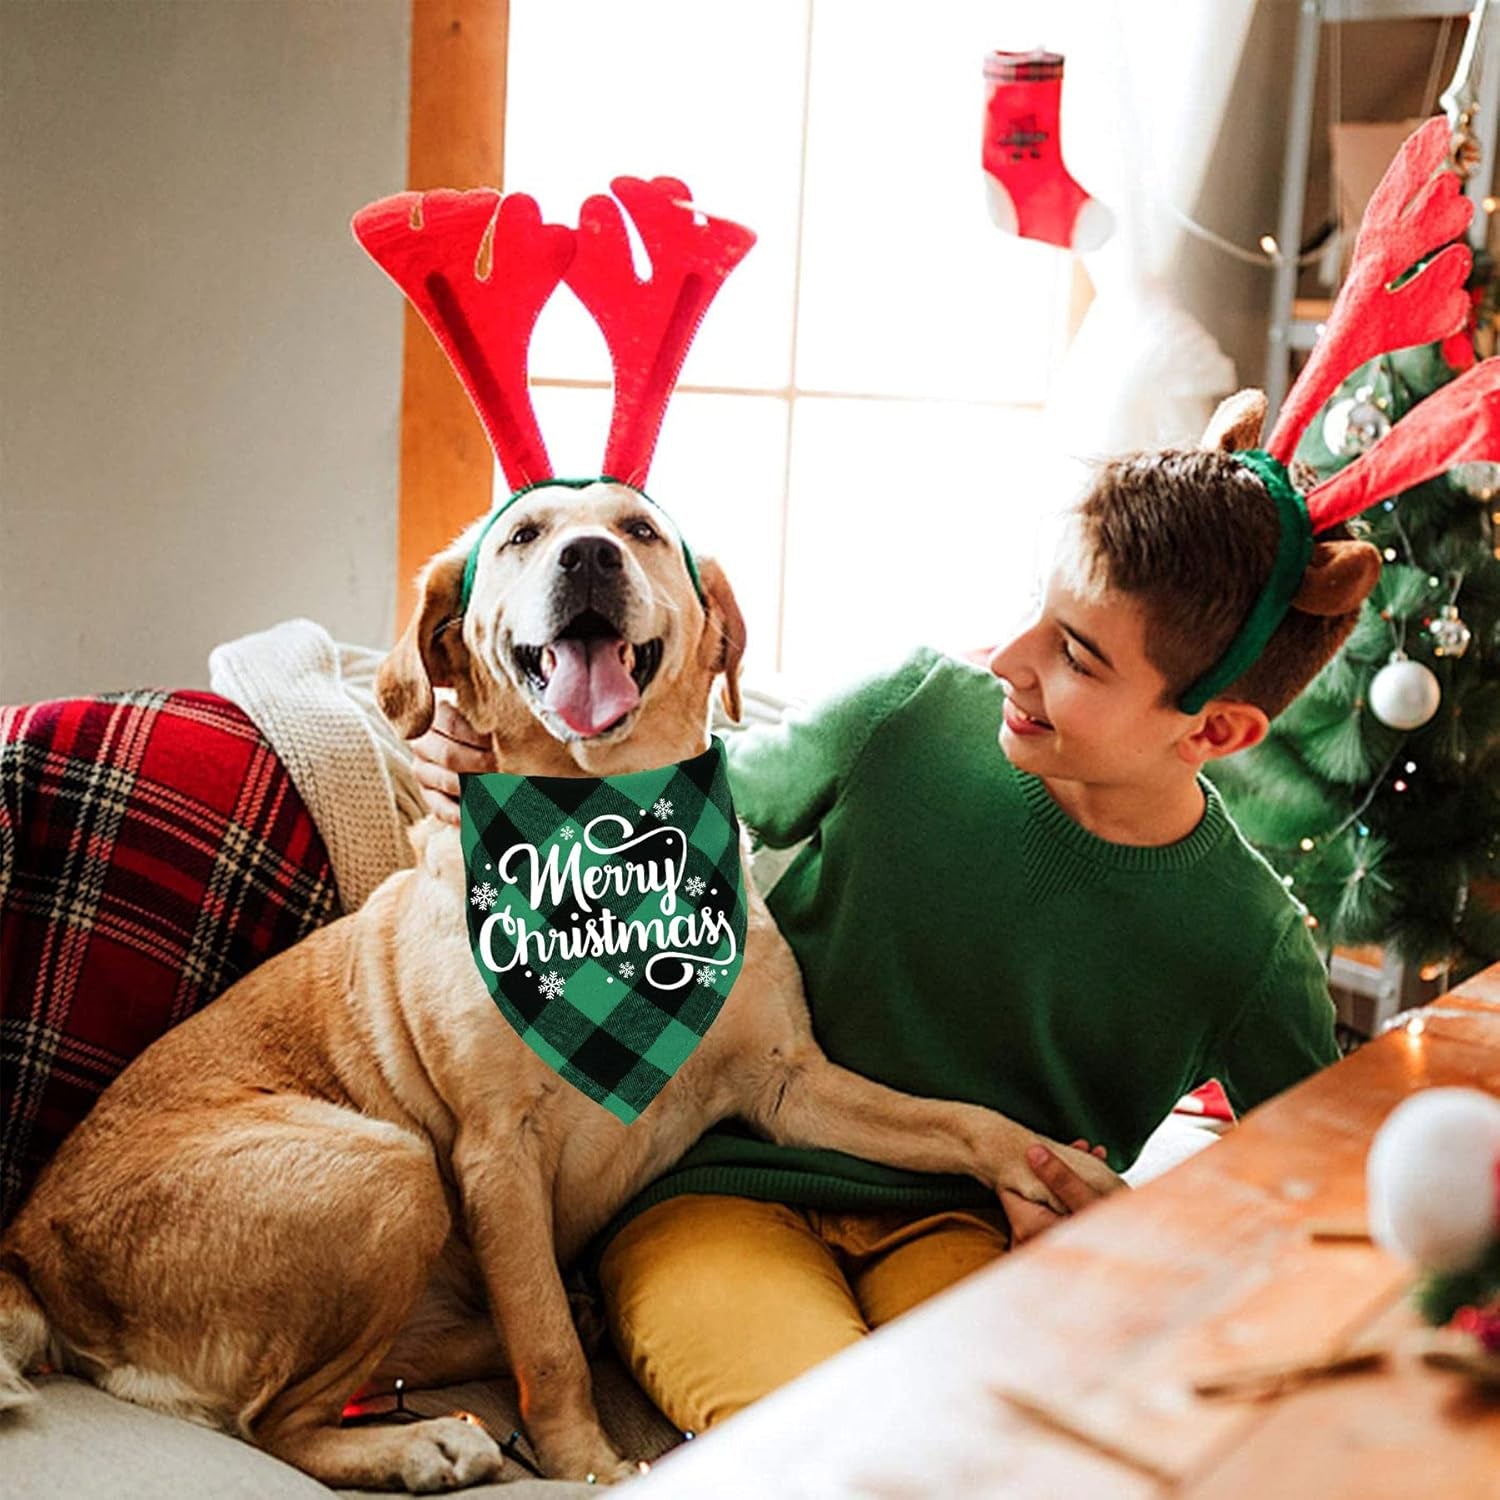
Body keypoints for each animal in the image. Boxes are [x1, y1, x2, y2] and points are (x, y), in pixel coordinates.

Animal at [0, 483, 1128, 1488]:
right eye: (523, 535)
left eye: (639, 528)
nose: (588, 557)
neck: (609, 839)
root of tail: (28, 1247)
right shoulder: (497, 1152)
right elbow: (541, 1341)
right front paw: (586, 1462)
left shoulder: (788, 1086)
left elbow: (958, 1120)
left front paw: (1061, 1176)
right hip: (390, 1169)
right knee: (278, 1420)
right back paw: (420, 1444)